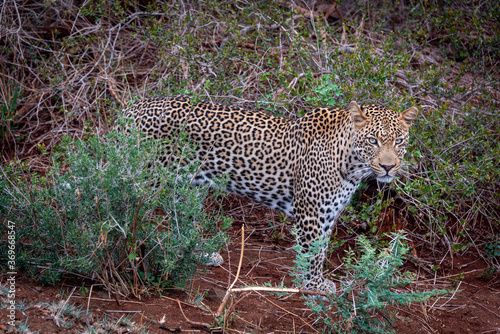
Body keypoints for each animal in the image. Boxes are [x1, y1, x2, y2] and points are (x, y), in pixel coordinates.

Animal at [120, 96, 418, 292]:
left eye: (399, 142)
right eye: (373, 141)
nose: (389, 166)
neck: (351, 164)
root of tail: (131, 108)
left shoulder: (328, 213)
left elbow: (321, 249)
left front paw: (316, 282)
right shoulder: (311, 213)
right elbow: (313, 251)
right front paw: (314, 286)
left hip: (189, 185)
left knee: (182, 216)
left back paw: (198, 253)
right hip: (145, 178)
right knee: (126, 212)